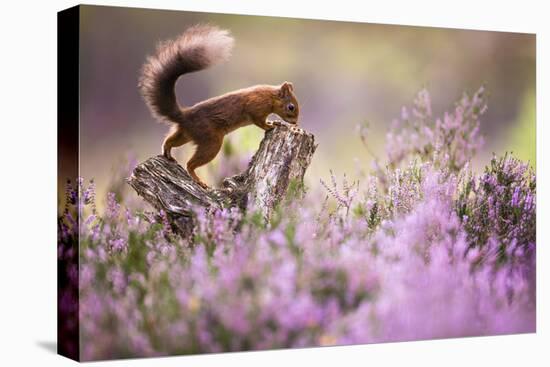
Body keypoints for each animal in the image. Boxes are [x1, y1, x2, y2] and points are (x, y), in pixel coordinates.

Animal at [138, 24, 302, 188]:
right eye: (291, 107)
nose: (295, 123)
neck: (269, 96)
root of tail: (184, 115)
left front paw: (274, 122)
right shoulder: (255, 107)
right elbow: (259, 122)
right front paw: (270, 125)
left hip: (186, 134)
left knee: (170, 140)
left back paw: (167, 151)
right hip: (211, 141)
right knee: (190, 164)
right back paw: (198, 180)